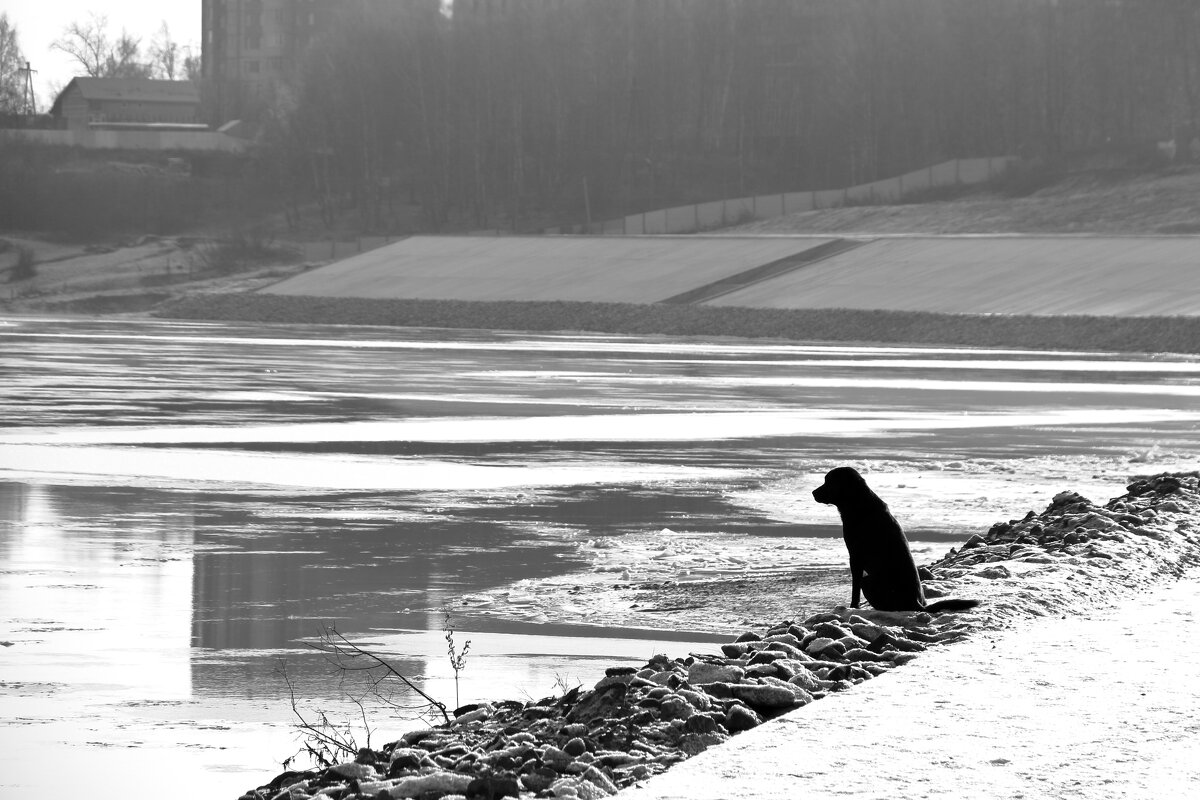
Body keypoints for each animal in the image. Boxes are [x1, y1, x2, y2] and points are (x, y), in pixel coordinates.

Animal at [811, 470, 979, 614]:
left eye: (829, 482)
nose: (813, 492)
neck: (859, 504)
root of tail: (916, 603)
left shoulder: (855, 557)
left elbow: (855, 589)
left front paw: (853, 607)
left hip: (868, 580)